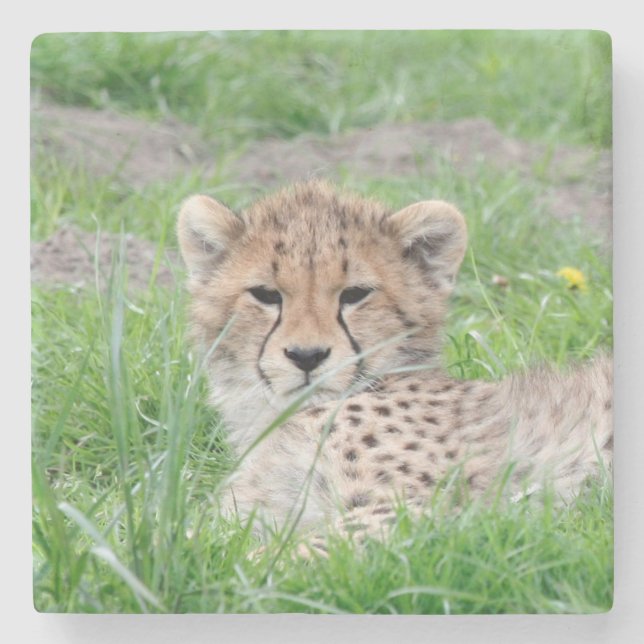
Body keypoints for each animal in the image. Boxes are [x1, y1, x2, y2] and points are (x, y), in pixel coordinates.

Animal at [177, 180, 612, 544]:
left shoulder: (424, 511)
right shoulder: (251, 513)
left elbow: (285, 556)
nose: (307, 356)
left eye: (355, 294)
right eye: (266, 295)